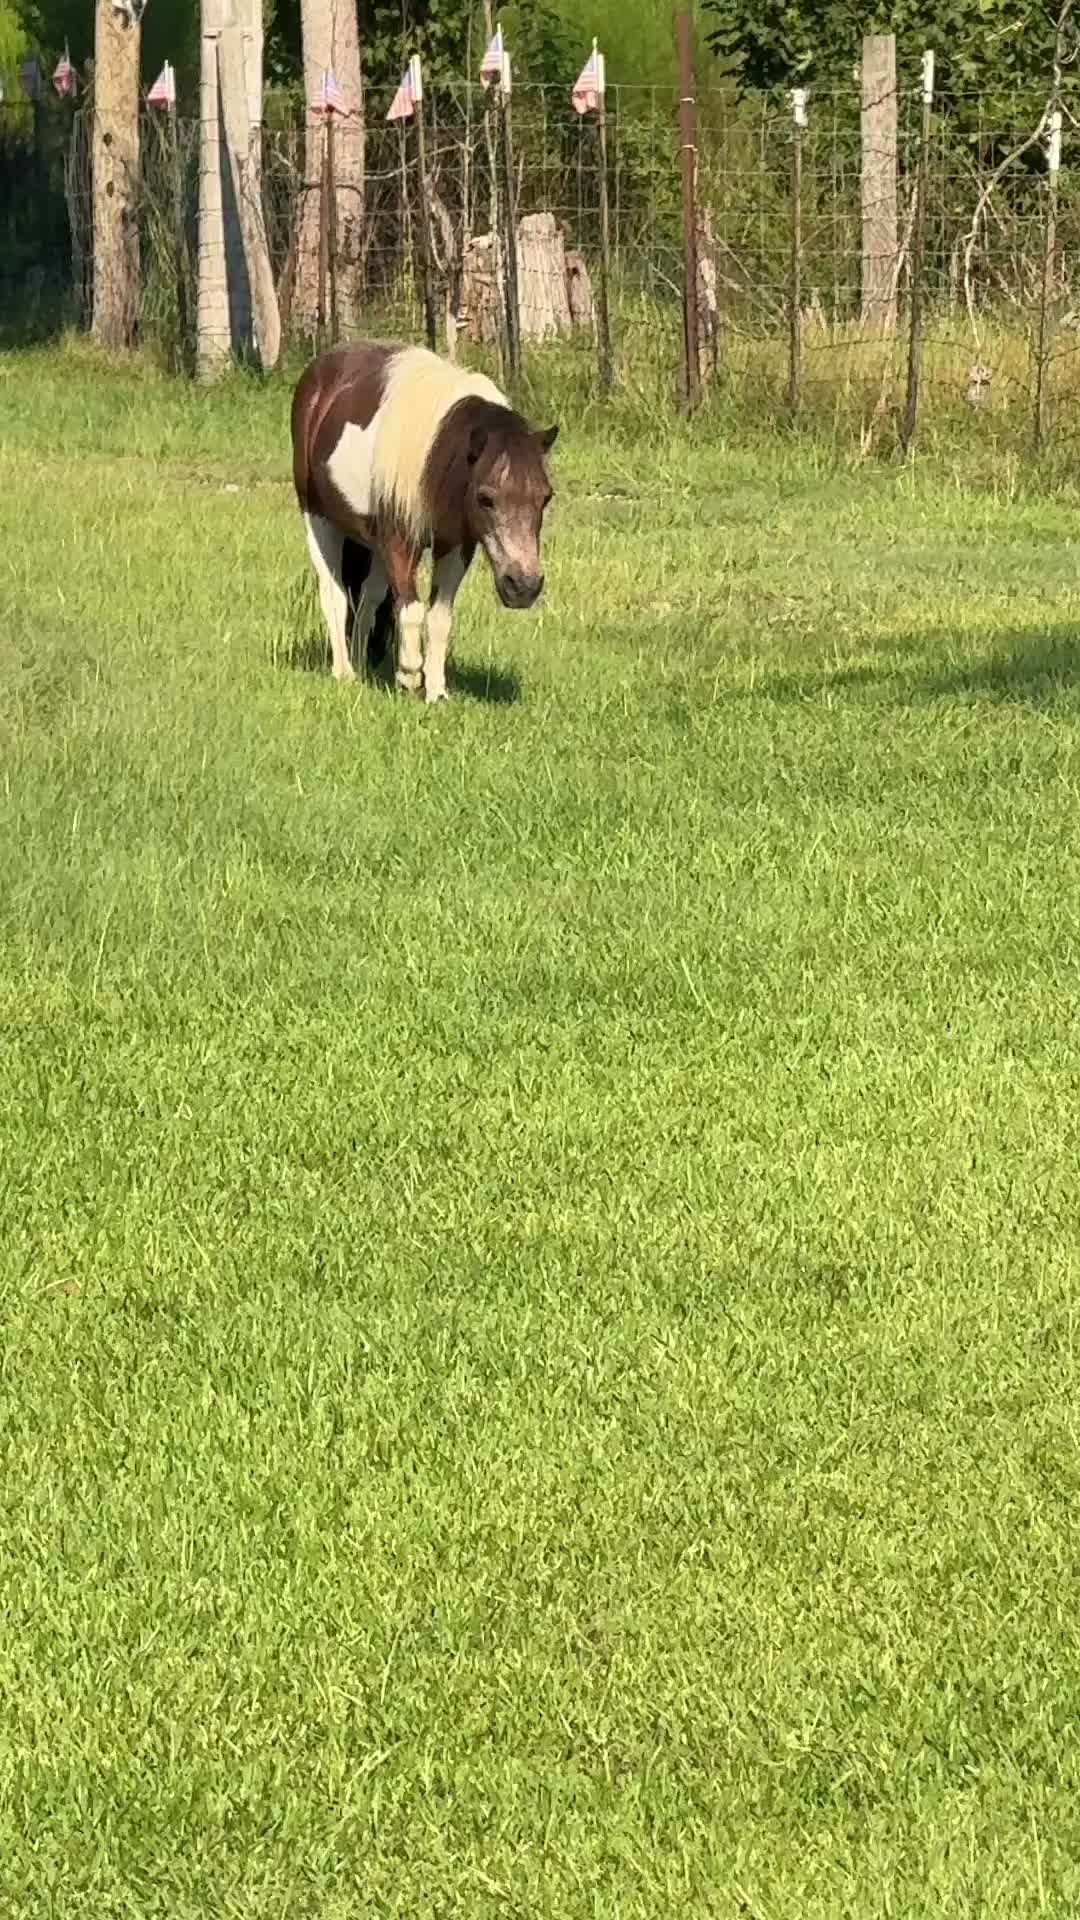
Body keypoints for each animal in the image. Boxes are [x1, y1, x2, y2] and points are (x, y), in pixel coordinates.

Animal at [291, 342, 558, 702]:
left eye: (545, 497)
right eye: (485, 498)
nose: (523, 587)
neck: (439, 457)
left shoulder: (455, 546)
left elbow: (439, 617)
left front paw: (436, 691)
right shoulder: (400, 541)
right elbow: (412, 609)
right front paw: (408, 675)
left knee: (368, 600)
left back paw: (361, 667)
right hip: (318, 518)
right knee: (334, 593)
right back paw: (345, 673)